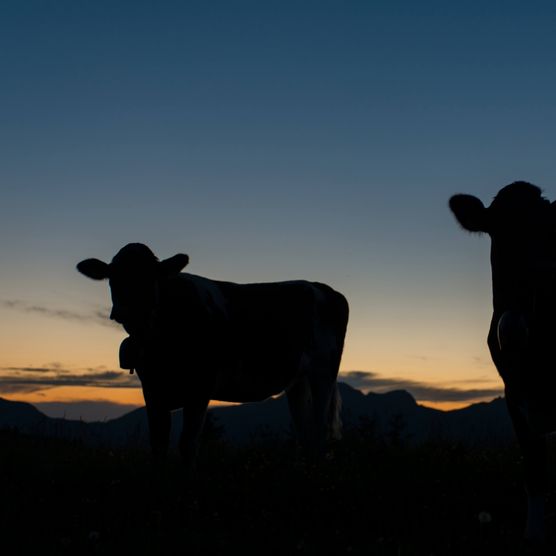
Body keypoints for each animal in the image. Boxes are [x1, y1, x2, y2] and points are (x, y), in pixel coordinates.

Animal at [76, 245, 350, 466]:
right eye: (113, 277)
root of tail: (321, 287)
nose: (124, 311)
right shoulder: (153, 390)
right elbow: (158, 445)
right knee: (304, 431)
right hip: (297, 380)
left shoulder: (200, 388)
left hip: (323, 372)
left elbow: (187, 445)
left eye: (150, 276)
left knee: (319, 429)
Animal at [450, 182, 556, 544]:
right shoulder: (514, 395)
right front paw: (535, 536)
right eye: (497, 232)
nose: (512, 323)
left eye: (547, 232)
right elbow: (534, 473)